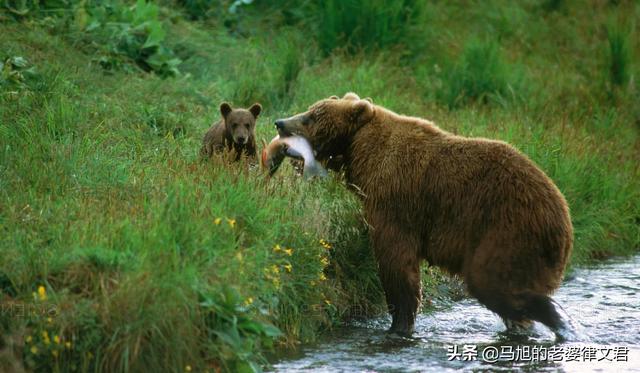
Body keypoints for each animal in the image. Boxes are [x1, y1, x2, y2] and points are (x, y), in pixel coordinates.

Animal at [276, 92, 576, 338]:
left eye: (311, 117)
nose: (280, 122)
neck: (360, 151)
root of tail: (564, 216)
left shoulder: (395, 200)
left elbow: (396, 260)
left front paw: (400, 322)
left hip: (506, 228)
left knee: (491, 282)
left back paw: (555, 318)